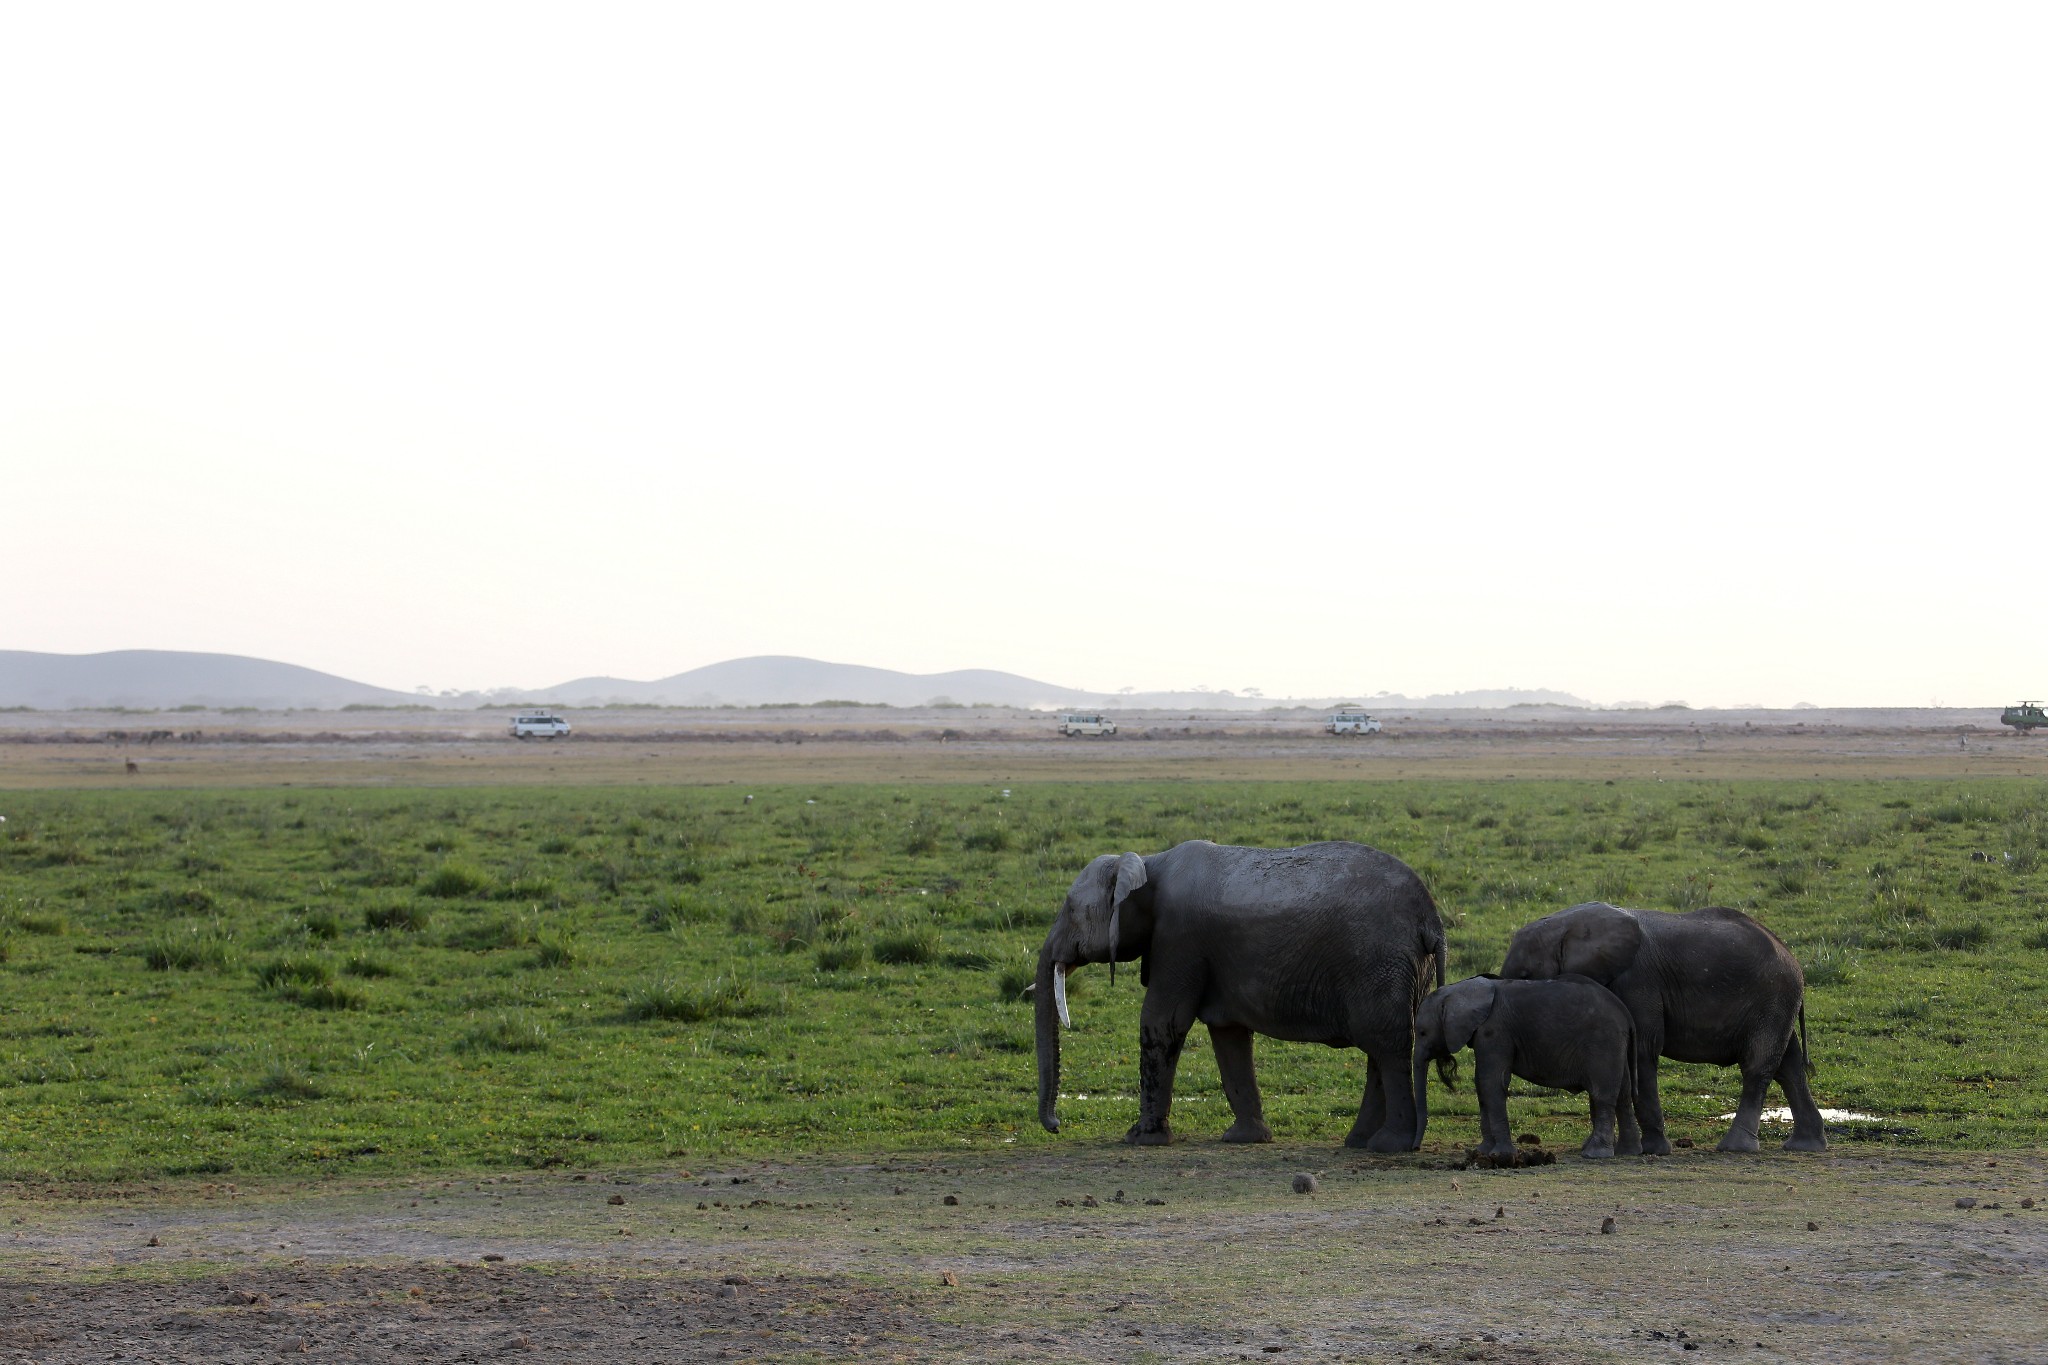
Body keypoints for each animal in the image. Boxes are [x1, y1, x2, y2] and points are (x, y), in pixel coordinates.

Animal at [1032, 839, 1449, 1146]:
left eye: (1070, 909)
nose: (1056, 1125)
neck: (1149, 861)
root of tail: (1432, 918)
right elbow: (1228, 1034)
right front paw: (1246, 1138)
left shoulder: (1179, 938)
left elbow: (1164, 1021)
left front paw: (1140, 1139)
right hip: (1403, 968)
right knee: (1380, 1049)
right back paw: (1359, 1142)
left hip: (1379, 962)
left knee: (1387, 1045)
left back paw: (1388, 1145)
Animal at [1417, 978, 1638, 1162]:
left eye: (1422, 1033)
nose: (1415, 1147)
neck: (1459, 989)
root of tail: (1626, 1014)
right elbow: (1482, 1084)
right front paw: (1482, 1152)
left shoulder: (1494, 1032)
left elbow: (1492, 1083)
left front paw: (1502, 1155)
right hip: (1616, 1044)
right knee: (1624, 1095)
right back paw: (1627, 1151)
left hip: (1603, 1042)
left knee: (1602, 1094)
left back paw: (1595, 1154)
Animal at [1490, 908, 1826, 1154]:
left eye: (1525, 975)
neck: (1568, 924)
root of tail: (1791, 956)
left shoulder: (1638, 981)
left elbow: (1641, 1052)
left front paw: (1652, 1150)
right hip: (1776, 1005)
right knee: (1789, 1067)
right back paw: (1805, 1146)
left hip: (1772, 998)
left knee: (1758, 1067)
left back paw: (1736, 1148)